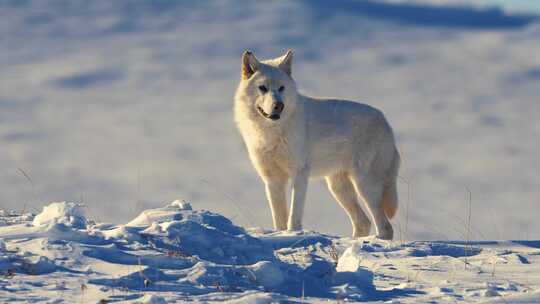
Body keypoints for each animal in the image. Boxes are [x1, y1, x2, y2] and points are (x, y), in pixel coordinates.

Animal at [234, 50, 398, 240]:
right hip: (338, 188)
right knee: (363, 222)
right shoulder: (272, 179)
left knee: (385, 227)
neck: (271, 132)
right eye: (263, 88)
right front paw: (280, 235)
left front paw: (293, 234)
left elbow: (293, 216)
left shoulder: (299, 174)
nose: (278, 105)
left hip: (364, 185)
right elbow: (279, 219)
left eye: (282, 88)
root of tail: (386, 122)